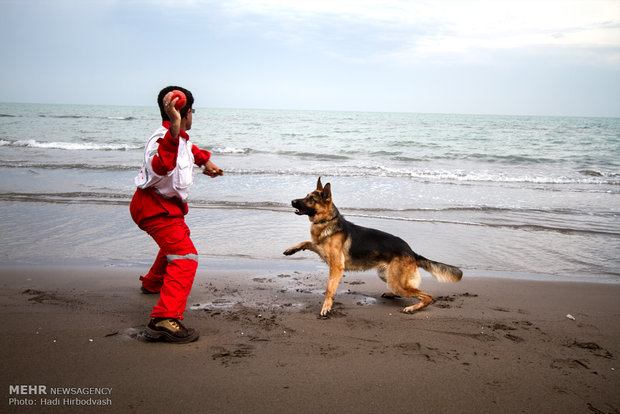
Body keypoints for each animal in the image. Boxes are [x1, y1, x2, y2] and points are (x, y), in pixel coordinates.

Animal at [284, 178, 462, 316]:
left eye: (311, 199)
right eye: (306, 196)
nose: (292, 201)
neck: (327, 221)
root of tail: (411, 251)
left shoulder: (336, 267)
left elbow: (329, 288)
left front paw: (326, 307)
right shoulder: (320, 248)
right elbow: (306, 242)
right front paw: (290, 250)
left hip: (397, 282)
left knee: (427, 296)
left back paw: (412, 308)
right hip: (387, 276)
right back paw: (392, 295)